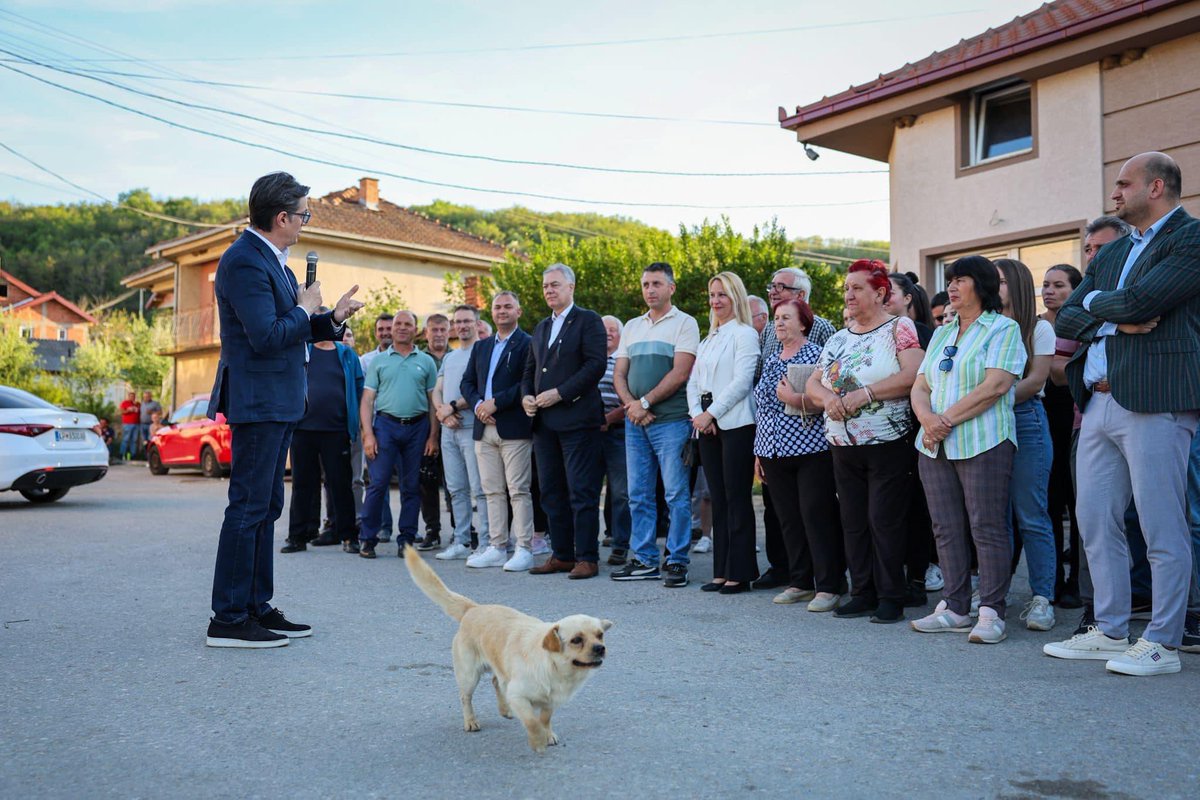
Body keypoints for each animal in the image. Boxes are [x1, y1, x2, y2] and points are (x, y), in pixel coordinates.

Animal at [405, 546, 614, 753]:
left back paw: (504, 710)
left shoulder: (549, 702)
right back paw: (470, 721)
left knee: (496, 681)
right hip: (469, 676)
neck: (554, 667)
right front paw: (538, 740)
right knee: (466, 697)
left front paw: (547, 734)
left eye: (600, 635)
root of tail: (473, 608)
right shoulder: (518, 696)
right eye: (576, 640)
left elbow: (544, 719)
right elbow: (532, 722)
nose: (600, 648)